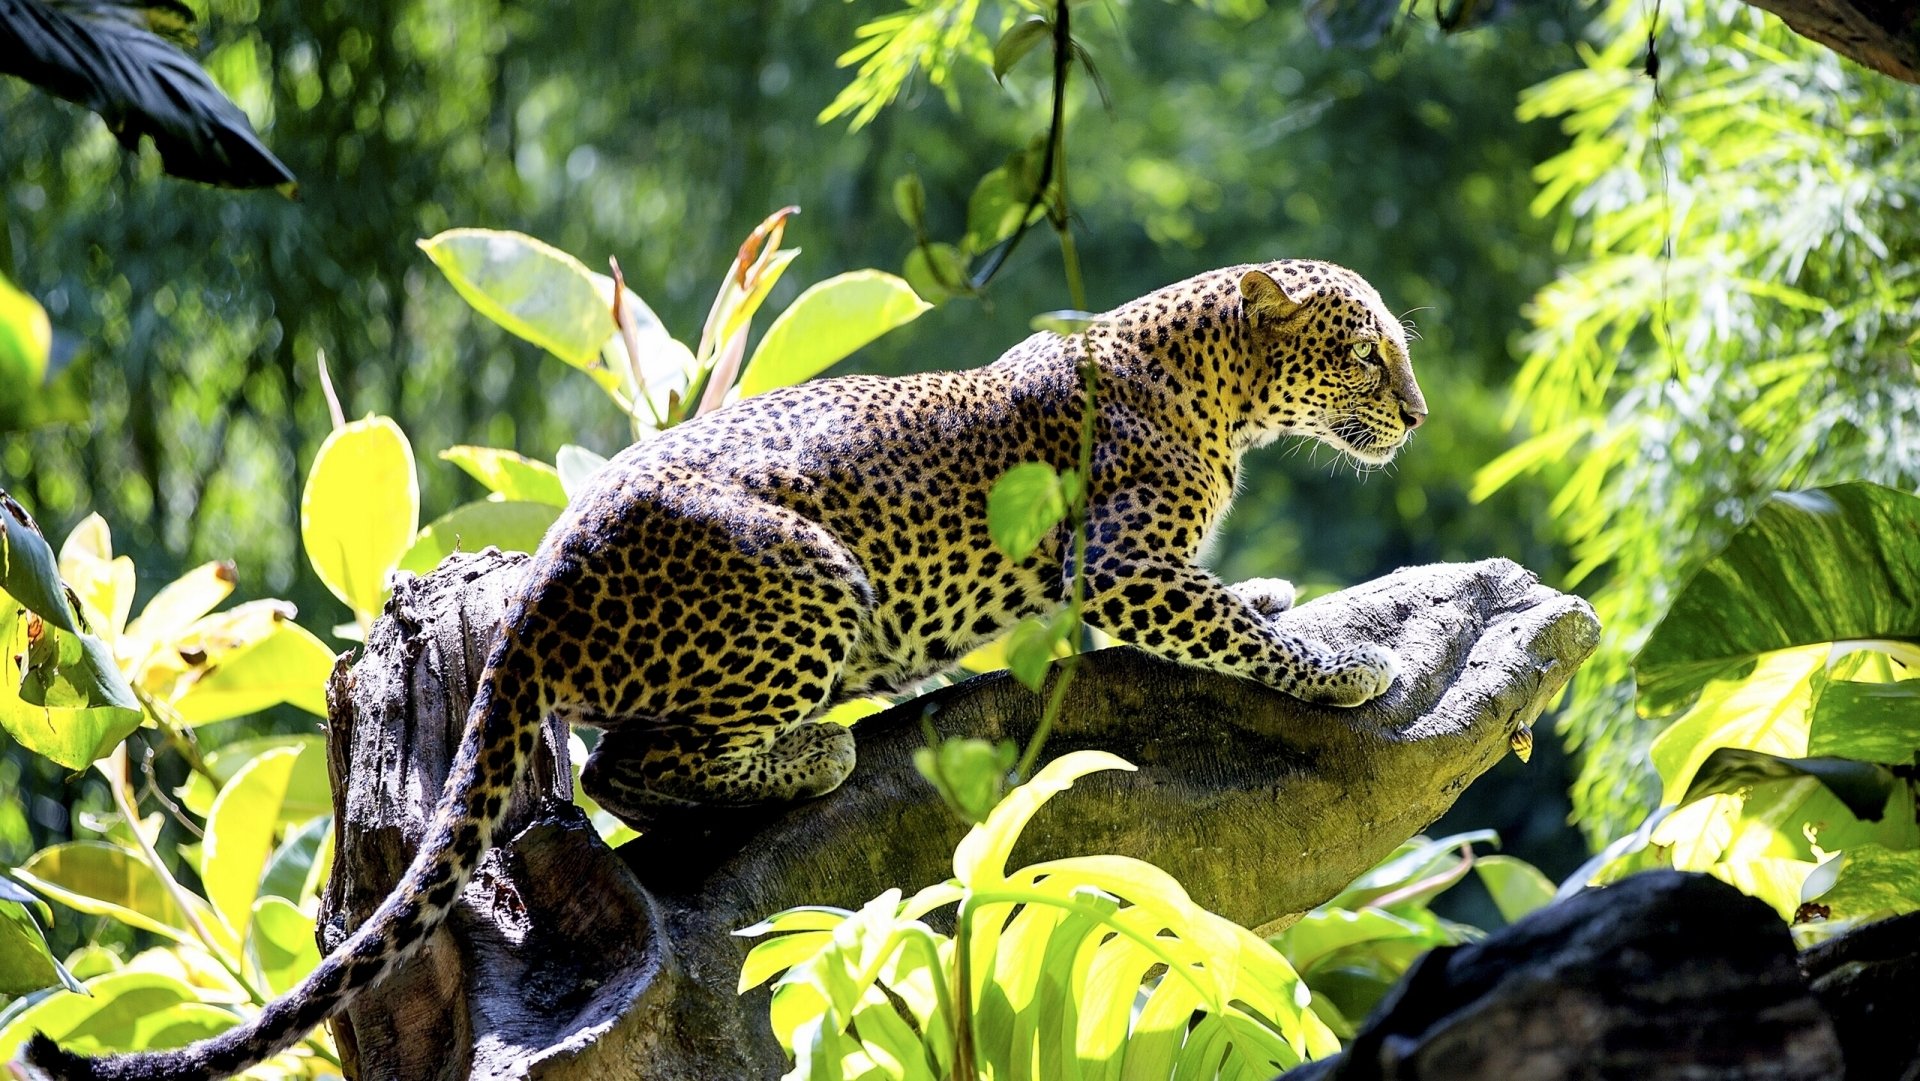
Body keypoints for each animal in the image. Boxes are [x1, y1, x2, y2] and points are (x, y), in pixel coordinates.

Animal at [19, 259, 1426, 1080]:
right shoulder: (1123, 563)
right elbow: (1224, 630)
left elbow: (1226, 606)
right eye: (1368, 351)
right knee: (629, 769)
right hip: (818, 580)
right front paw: (1337, 666)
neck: (1216, 385)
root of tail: (540, 579)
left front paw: (1280, 596)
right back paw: (822, 747)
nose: (1413, 414)